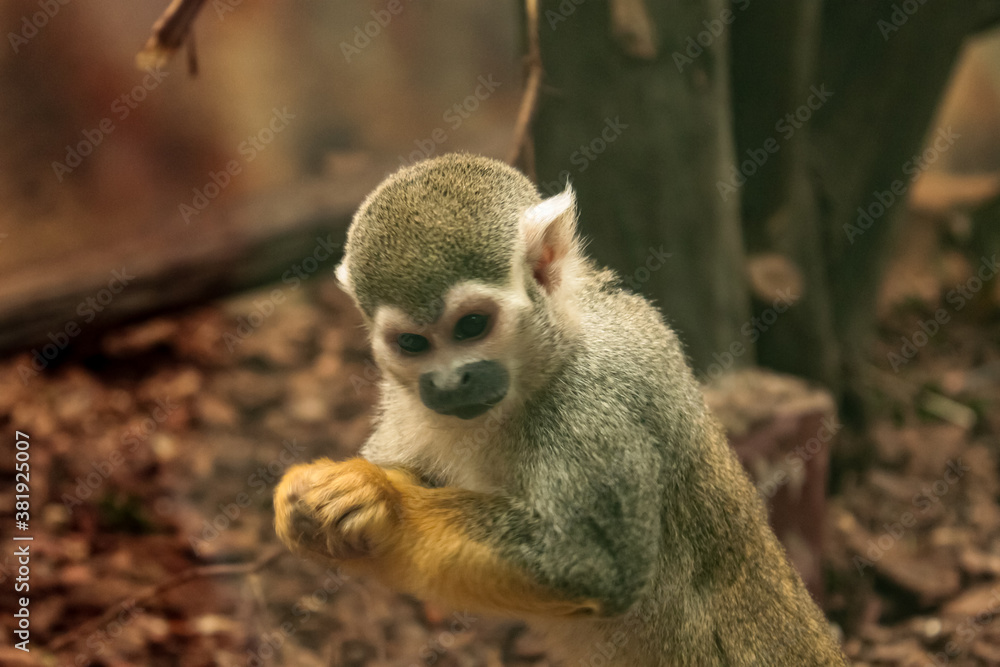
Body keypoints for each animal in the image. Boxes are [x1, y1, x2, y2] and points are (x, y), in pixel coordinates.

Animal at [273, 153, 849, 665]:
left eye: (471, 325)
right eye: (413, 344)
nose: (451, 381)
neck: (544, 367)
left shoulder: (596, 405)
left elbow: (589, 564)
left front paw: (384, 504)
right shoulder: (408, 398)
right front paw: (316, 501)